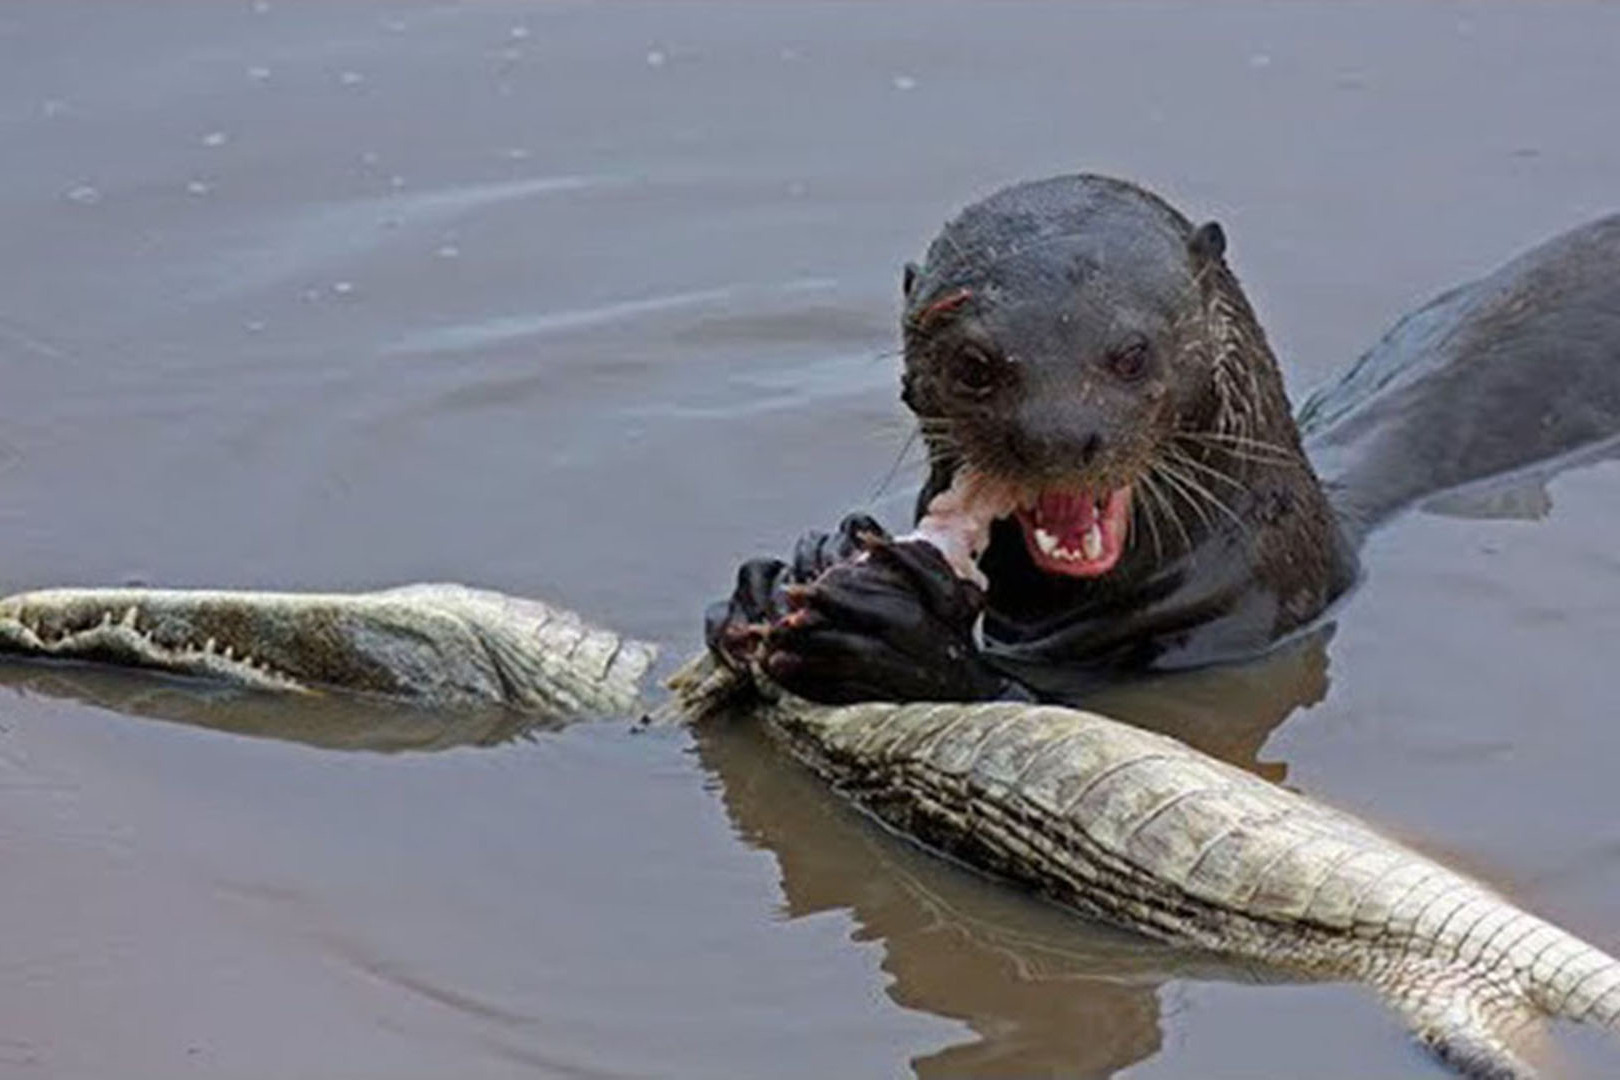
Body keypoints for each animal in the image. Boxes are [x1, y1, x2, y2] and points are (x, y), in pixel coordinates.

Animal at [706, 173, 1620, 705]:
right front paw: (779, 575)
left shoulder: (1238, 627)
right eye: (973, 363)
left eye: (1130, 352)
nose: (1060, 436)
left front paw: (899, 636)